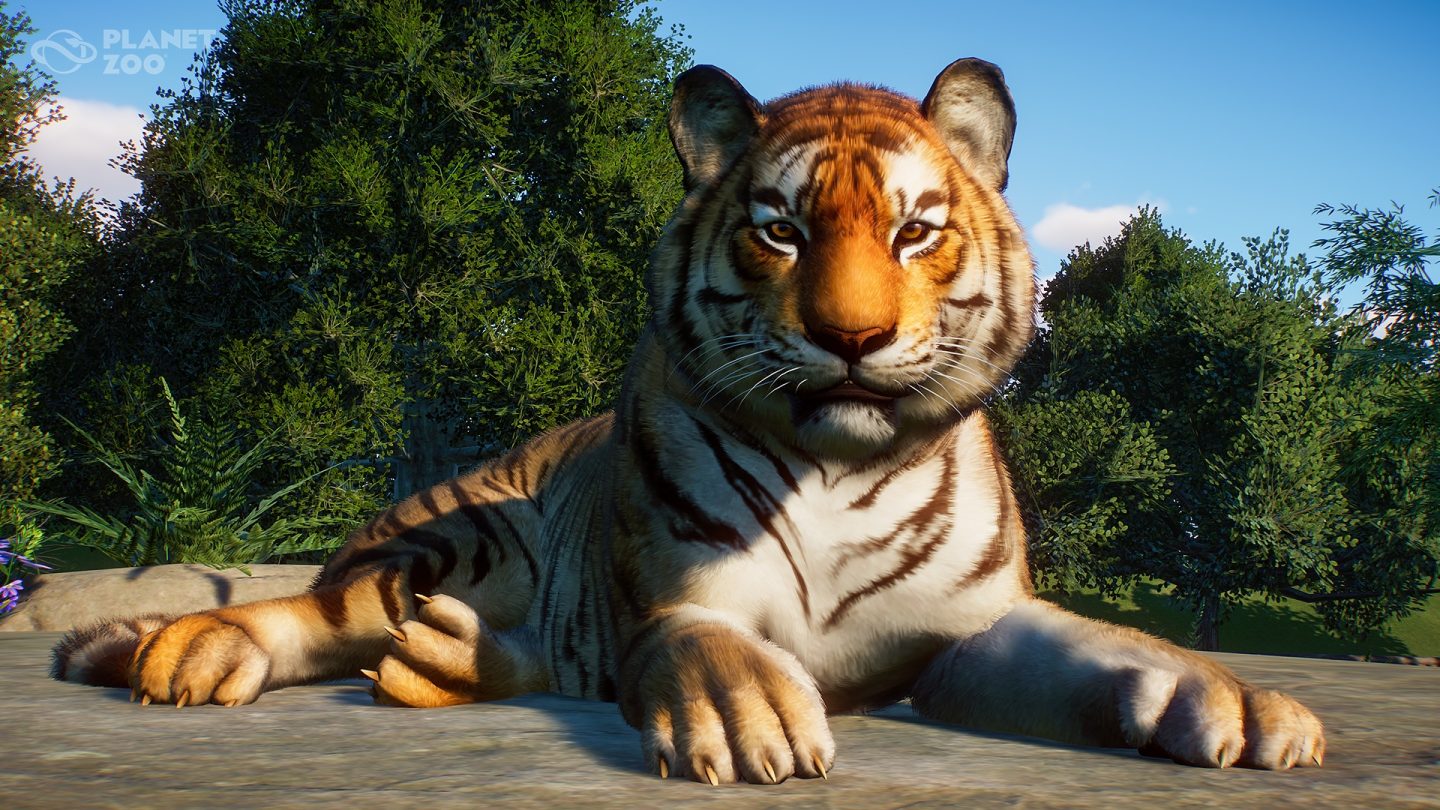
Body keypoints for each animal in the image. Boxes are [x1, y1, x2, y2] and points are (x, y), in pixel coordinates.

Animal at [51, 58, 1325, 784]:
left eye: (914, 229)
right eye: (782, 229)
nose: (853, 337)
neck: (841, 464)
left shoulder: (967, 630)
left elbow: (1109, 647)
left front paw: (1235, 701)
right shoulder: (682, 594)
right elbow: (705, 648)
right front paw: (746, 719)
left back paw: (446, 664)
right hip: (457, 533)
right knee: (325, 612)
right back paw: (199, 649)